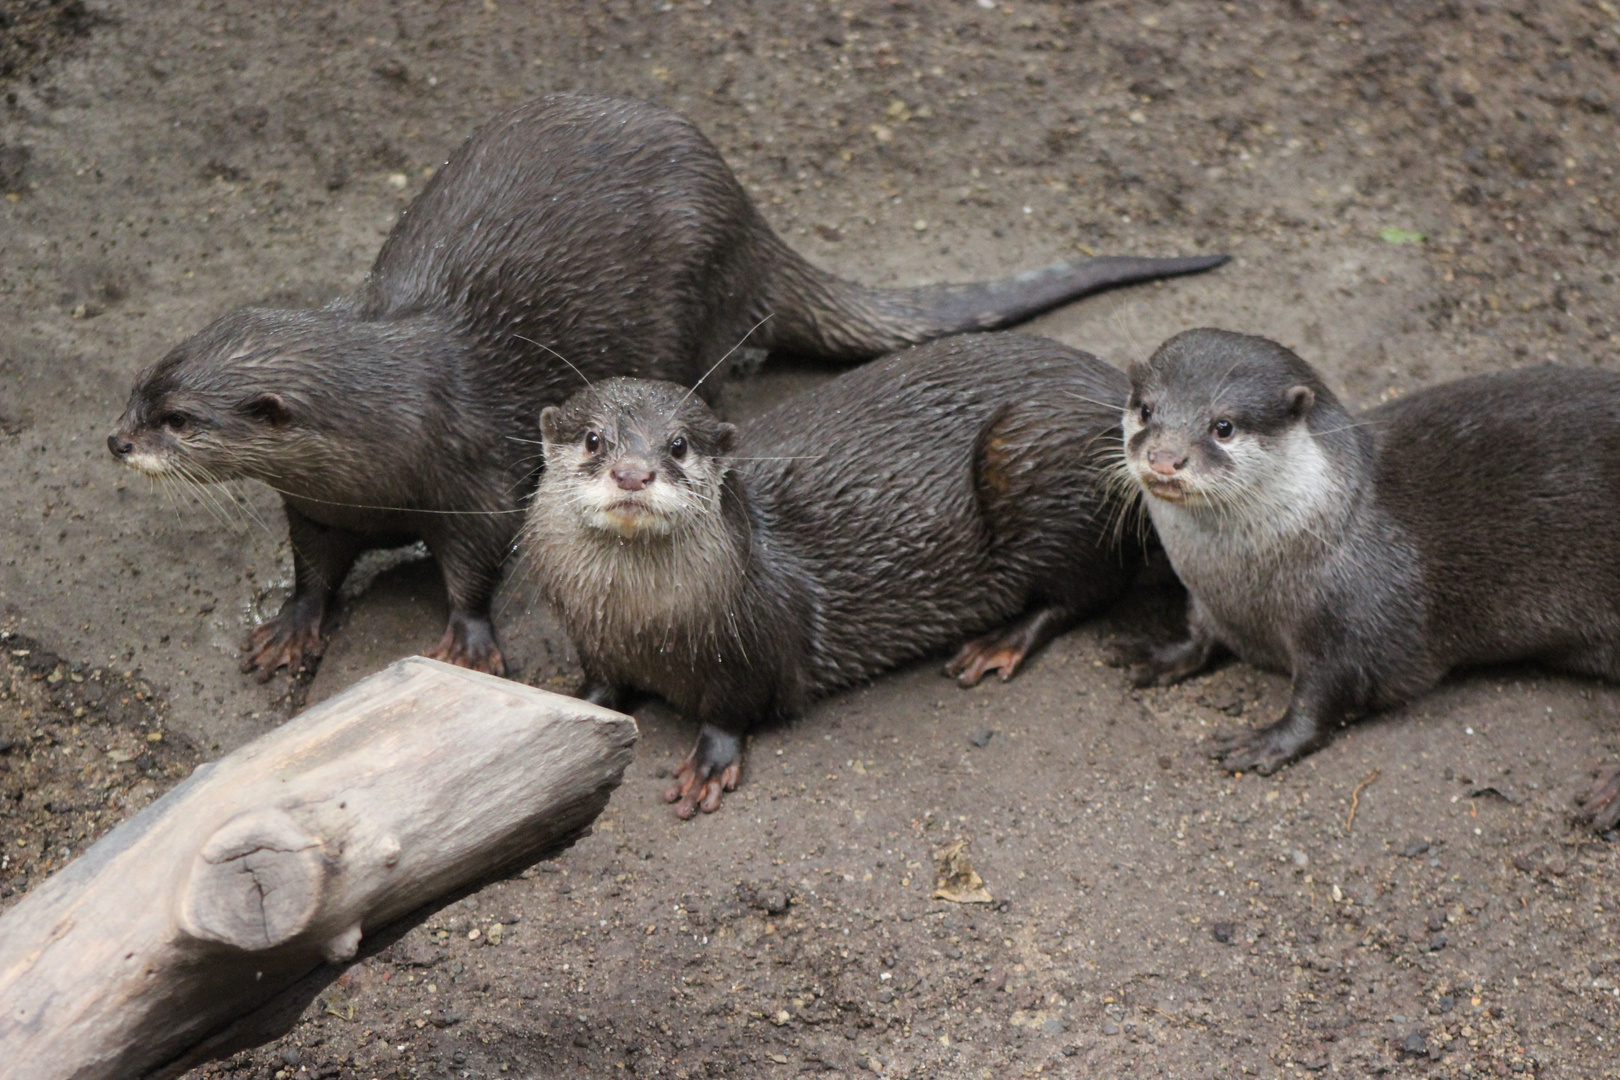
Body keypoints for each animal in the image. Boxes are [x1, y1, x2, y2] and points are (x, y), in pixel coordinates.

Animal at [107, 95, 1224, 683]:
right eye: (138, 390)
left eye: (177, 419)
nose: (116, 443)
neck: (385, 442)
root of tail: (748, 212)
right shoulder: (318, 504)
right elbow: (313, 565)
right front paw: (291, 627)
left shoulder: (474, 475)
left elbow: (475, 561)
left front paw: (468, 638)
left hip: (697, 298)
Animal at [524, 333, 1146, 816]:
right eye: (593, 439)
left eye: (677, 444)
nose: (633, 473)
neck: (641, 627)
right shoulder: (593, 639)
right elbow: (600, 685)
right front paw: (568, 714)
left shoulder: (755, 641)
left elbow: (734, 707)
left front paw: (708, 764)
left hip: (1030, 452)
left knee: (1094, 586)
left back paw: (997, 644)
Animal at [1121, 330, 1620, 829]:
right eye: (1146, 410)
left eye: (1222, 426)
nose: (1165, 458)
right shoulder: (1206, 599)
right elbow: (1198, 633)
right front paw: (1156, 654)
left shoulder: (1356, 621)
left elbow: (1323, 695)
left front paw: (1268, 740)